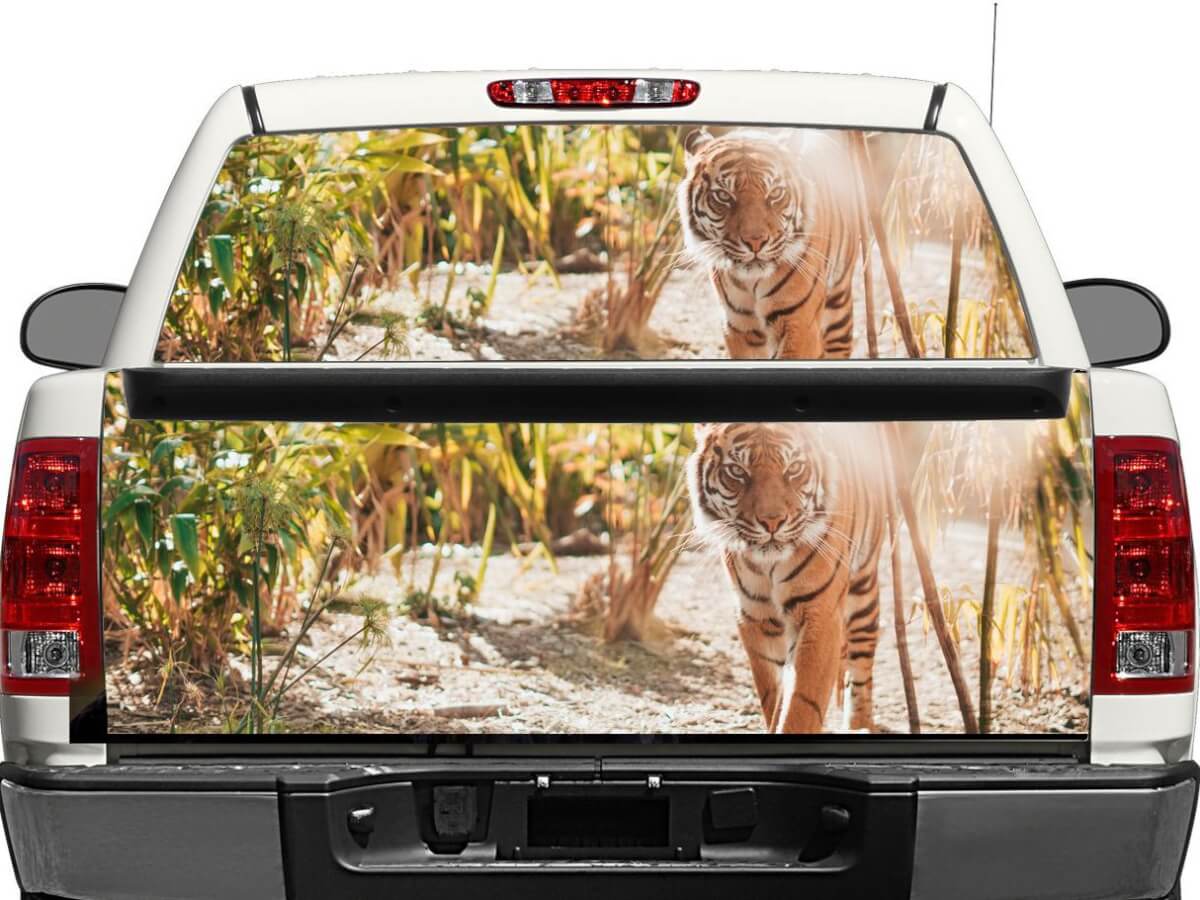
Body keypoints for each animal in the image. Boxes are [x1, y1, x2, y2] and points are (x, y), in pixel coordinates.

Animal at [677, 129, 862, 360]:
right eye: (723, 196)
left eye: (775, 193)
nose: (755, 241)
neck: (751, 282)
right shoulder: (739, 326)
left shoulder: (798, 323)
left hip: (839, 302)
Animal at [687, 422, 885, 733]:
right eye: (737, 472)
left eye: (794, 469)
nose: (772, 522)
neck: (768, 565)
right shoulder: (755, 616)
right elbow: (773, 693)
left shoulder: (819, 614)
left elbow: (802, 702)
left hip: (863, 589)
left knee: (861, 666)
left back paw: (860, 725)